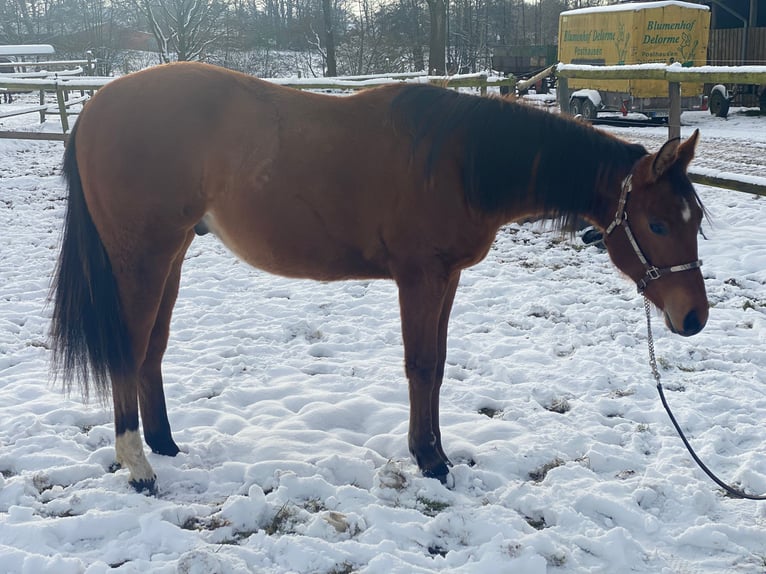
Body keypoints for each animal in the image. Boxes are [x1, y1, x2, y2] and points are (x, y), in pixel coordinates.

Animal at [50, 62, 708, 493]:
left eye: (695, 219)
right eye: (655, 222)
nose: (693, 317)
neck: (458, 161)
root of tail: (94, 108)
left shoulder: (445, 279)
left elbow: (436, 366)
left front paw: (435, 453)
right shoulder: (419, 278)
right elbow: (420, 366)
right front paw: (430, 462)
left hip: (174, 252)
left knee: (151, 350)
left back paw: (163, 443)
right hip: (142, 256)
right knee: (127, 349)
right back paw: (138, 465)